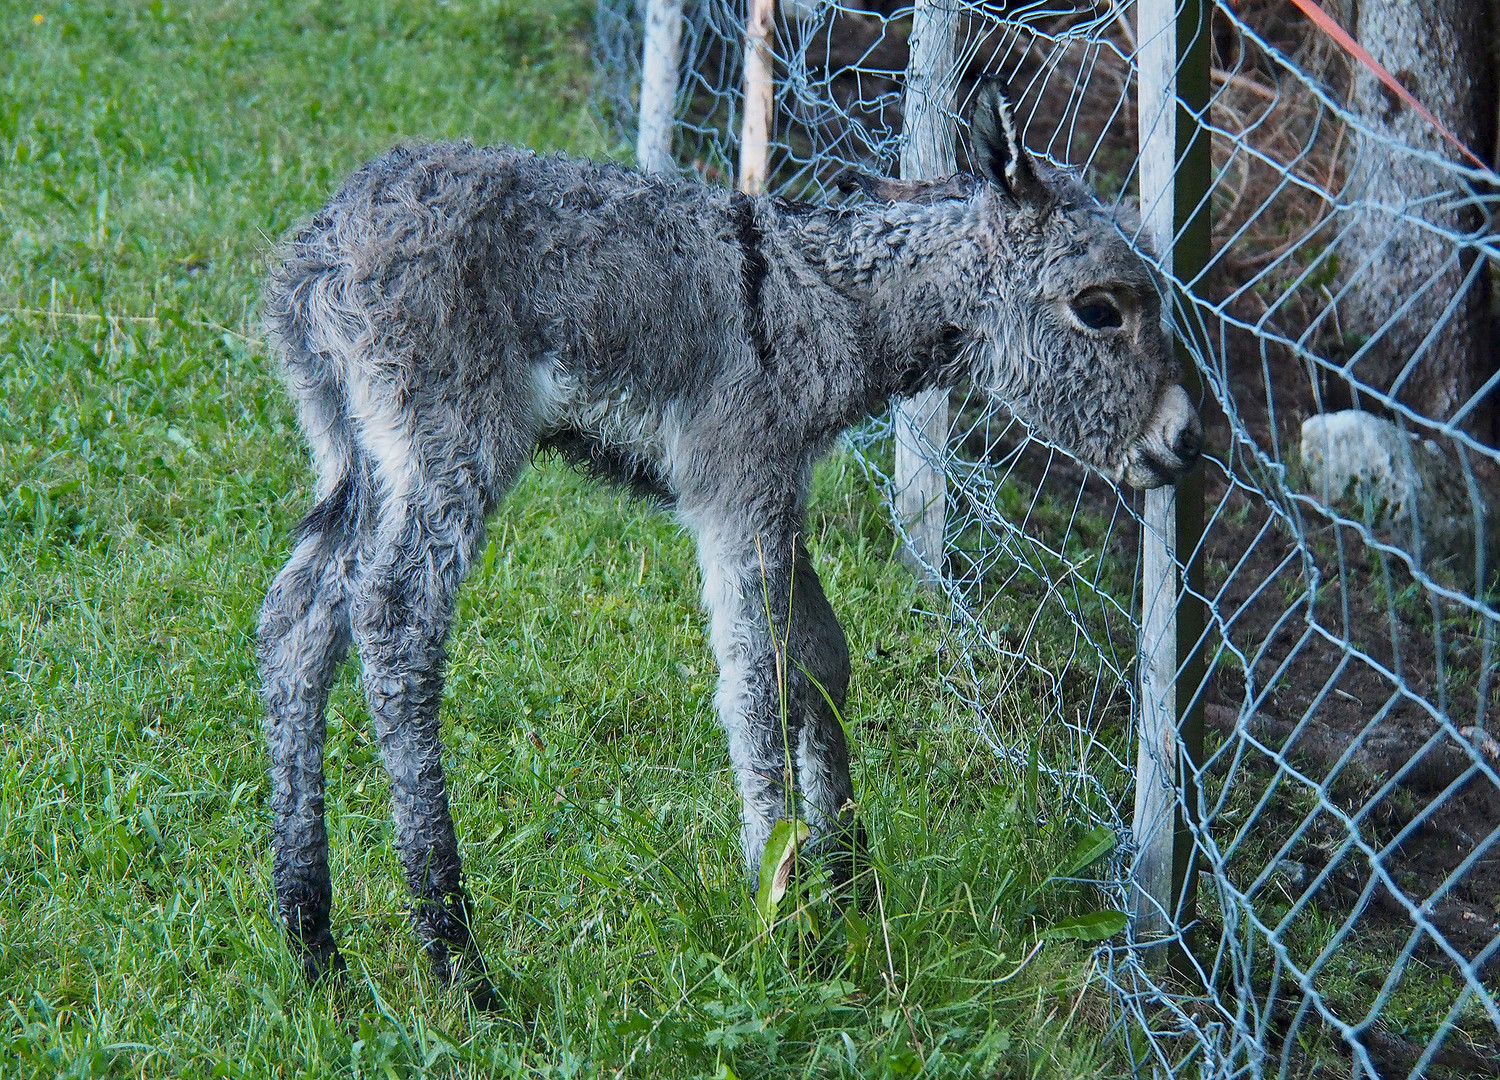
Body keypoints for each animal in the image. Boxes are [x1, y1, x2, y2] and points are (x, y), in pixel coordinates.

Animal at [255, 80, 1194, 1002]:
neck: (826, 299)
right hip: (448, 443)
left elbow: (821, 657)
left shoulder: (780, 490)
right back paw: (455, 957)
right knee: (394, 623)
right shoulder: (740, 490)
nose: (1183, 440)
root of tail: (317, 257)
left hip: (353, 456)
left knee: (297, 621)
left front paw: (851, 887)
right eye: (1100, 309)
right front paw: (784, 915)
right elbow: (758, 682)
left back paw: (311, 941)